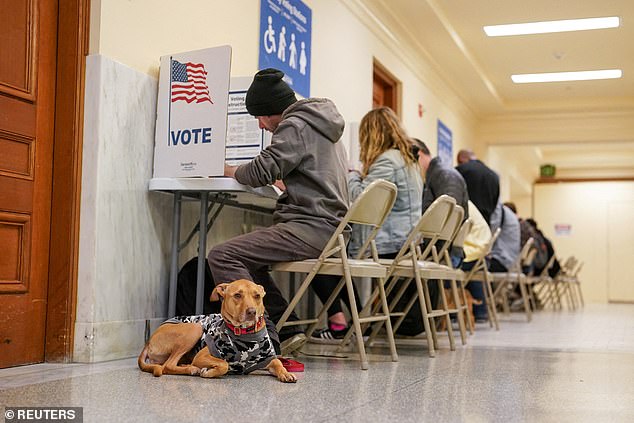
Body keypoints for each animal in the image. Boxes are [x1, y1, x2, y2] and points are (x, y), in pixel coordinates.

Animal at [138, 278, 296, 384]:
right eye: (237, 295)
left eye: (257, 296)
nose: (252, 312)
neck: (245, 335)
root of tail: (149, 341)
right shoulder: (202, 356)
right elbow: (224, 364)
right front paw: (209, 372)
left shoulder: (267, 359)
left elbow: (278, 363)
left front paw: (286, 373)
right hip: (195, 328)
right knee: (167, 365)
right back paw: (192, 369)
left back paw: (187, 365)